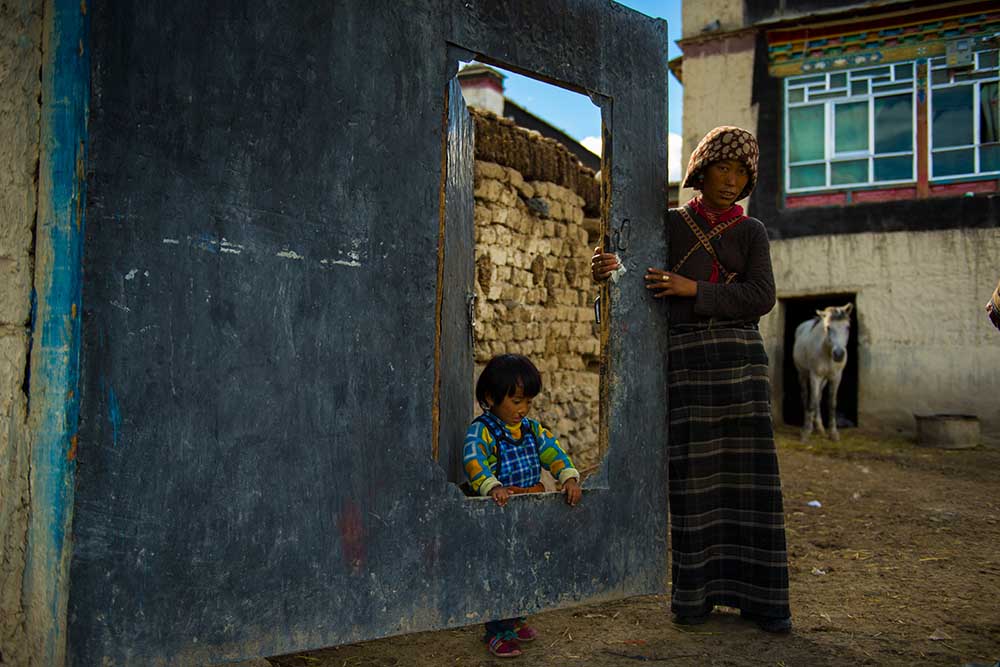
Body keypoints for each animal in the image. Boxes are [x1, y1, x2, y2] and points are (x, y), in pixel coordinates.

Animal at [796, 304, 852, 444]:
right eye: (828, 327)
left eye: (848, 327)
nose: (839, 354)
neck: (826, 352)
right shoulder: (814, 376)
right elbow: (811, 401)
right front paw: (806, 433)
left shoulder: (836, 377)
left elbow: (831, 403)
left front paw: (833, 433)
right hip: (802, 374)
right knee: (806, 396)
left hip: (824, 379)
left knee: (819, 397)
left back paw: (820, 428)